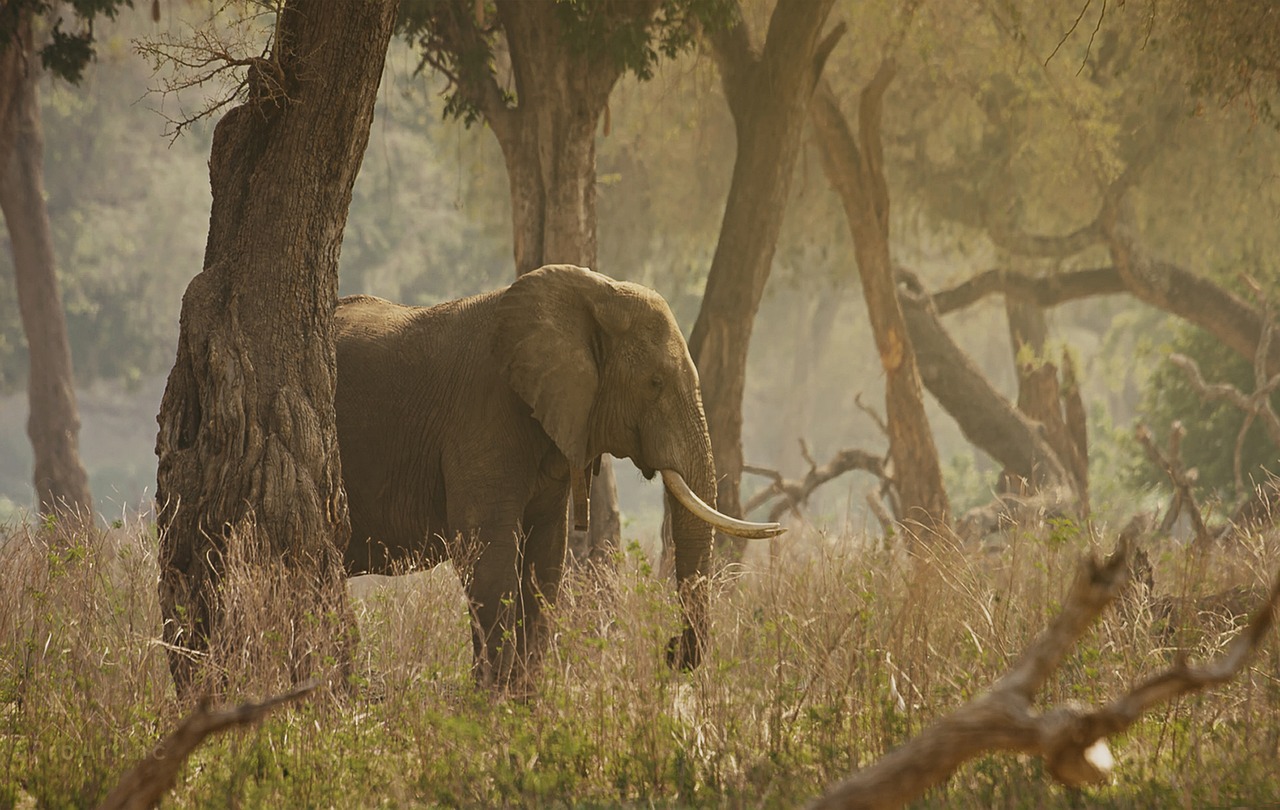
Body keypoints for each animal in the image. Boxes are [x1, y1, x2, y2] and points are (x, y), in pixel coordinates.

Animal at [335, 264, 780, 689]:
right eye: (655, 383)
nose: (672, 651)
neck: (593, 294)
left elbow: (545, 556)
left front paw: (521, 701)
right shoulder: (481, 415)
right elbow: (487, 552)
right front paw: (489, 702)